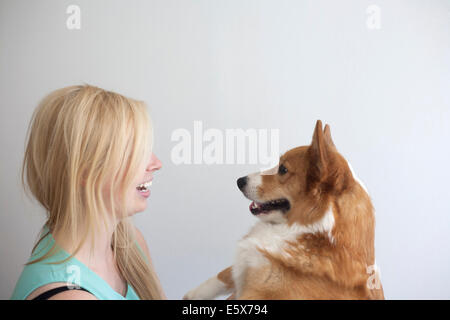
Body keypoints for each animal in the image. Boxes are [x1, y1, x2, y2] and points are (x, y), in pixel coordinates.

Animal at [185, 120, 384, 300]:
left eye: (283, 169)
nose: (239, 181)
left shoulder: (258, 292)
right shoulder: (246, 263)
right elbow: (222, 275)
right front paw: (192, 295)